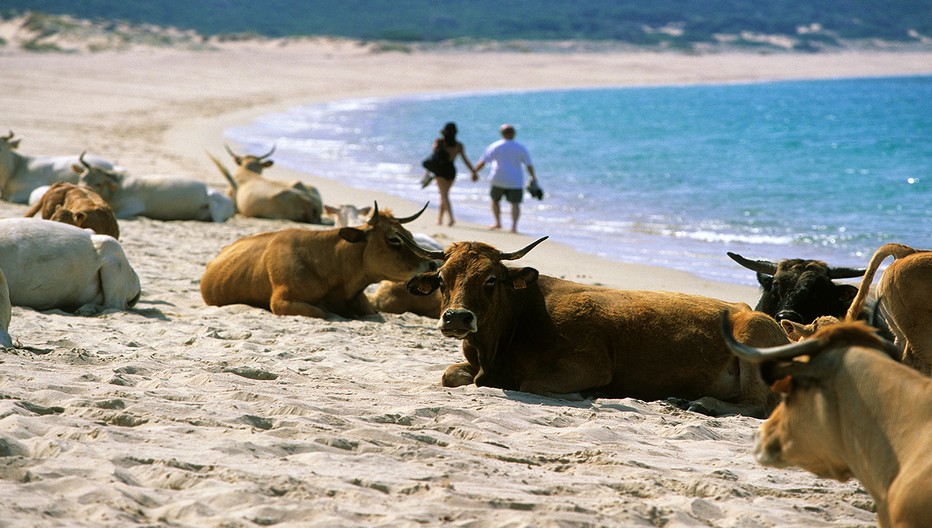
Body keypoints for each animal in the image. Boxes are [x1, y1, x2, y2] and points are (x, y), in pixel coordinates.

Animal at [404, 235, 792, 416]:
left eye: (490, 280)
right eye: (441, 279)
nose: (457, 317)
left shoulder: (588, 364)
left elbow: (532, 382)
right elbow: (450, 375)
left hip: (752, 336)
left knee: (756, 405)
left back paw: (701, 403)